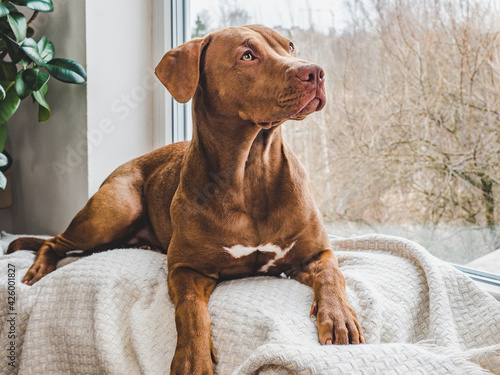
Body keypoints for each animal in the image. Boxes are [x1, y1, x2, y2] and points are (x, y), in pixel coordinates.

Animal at [8, 25, 364, 374]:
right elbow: (190, 310)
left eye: (289, 47)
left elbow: (332, 275)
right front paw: (193, 358)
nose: (315, 72)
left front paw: (338, 317)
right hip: (112, 213)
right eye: (247, 55)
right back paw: (38, 268)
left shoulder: (314, 253)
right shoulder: (186, 269)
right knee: (53, 240)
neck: (250, 173)